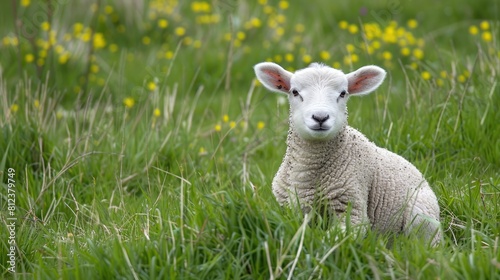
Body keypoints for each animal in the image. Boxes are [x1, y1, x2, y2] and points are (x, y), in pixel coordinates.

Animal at [254, 60, 442, 243]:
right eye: (294, 92)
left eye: (343, 93)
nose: (320, 117)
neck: (306, 172)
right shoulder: (285, 208)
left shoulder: (353, 211)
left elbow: (331, 239)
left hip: (422, 215)